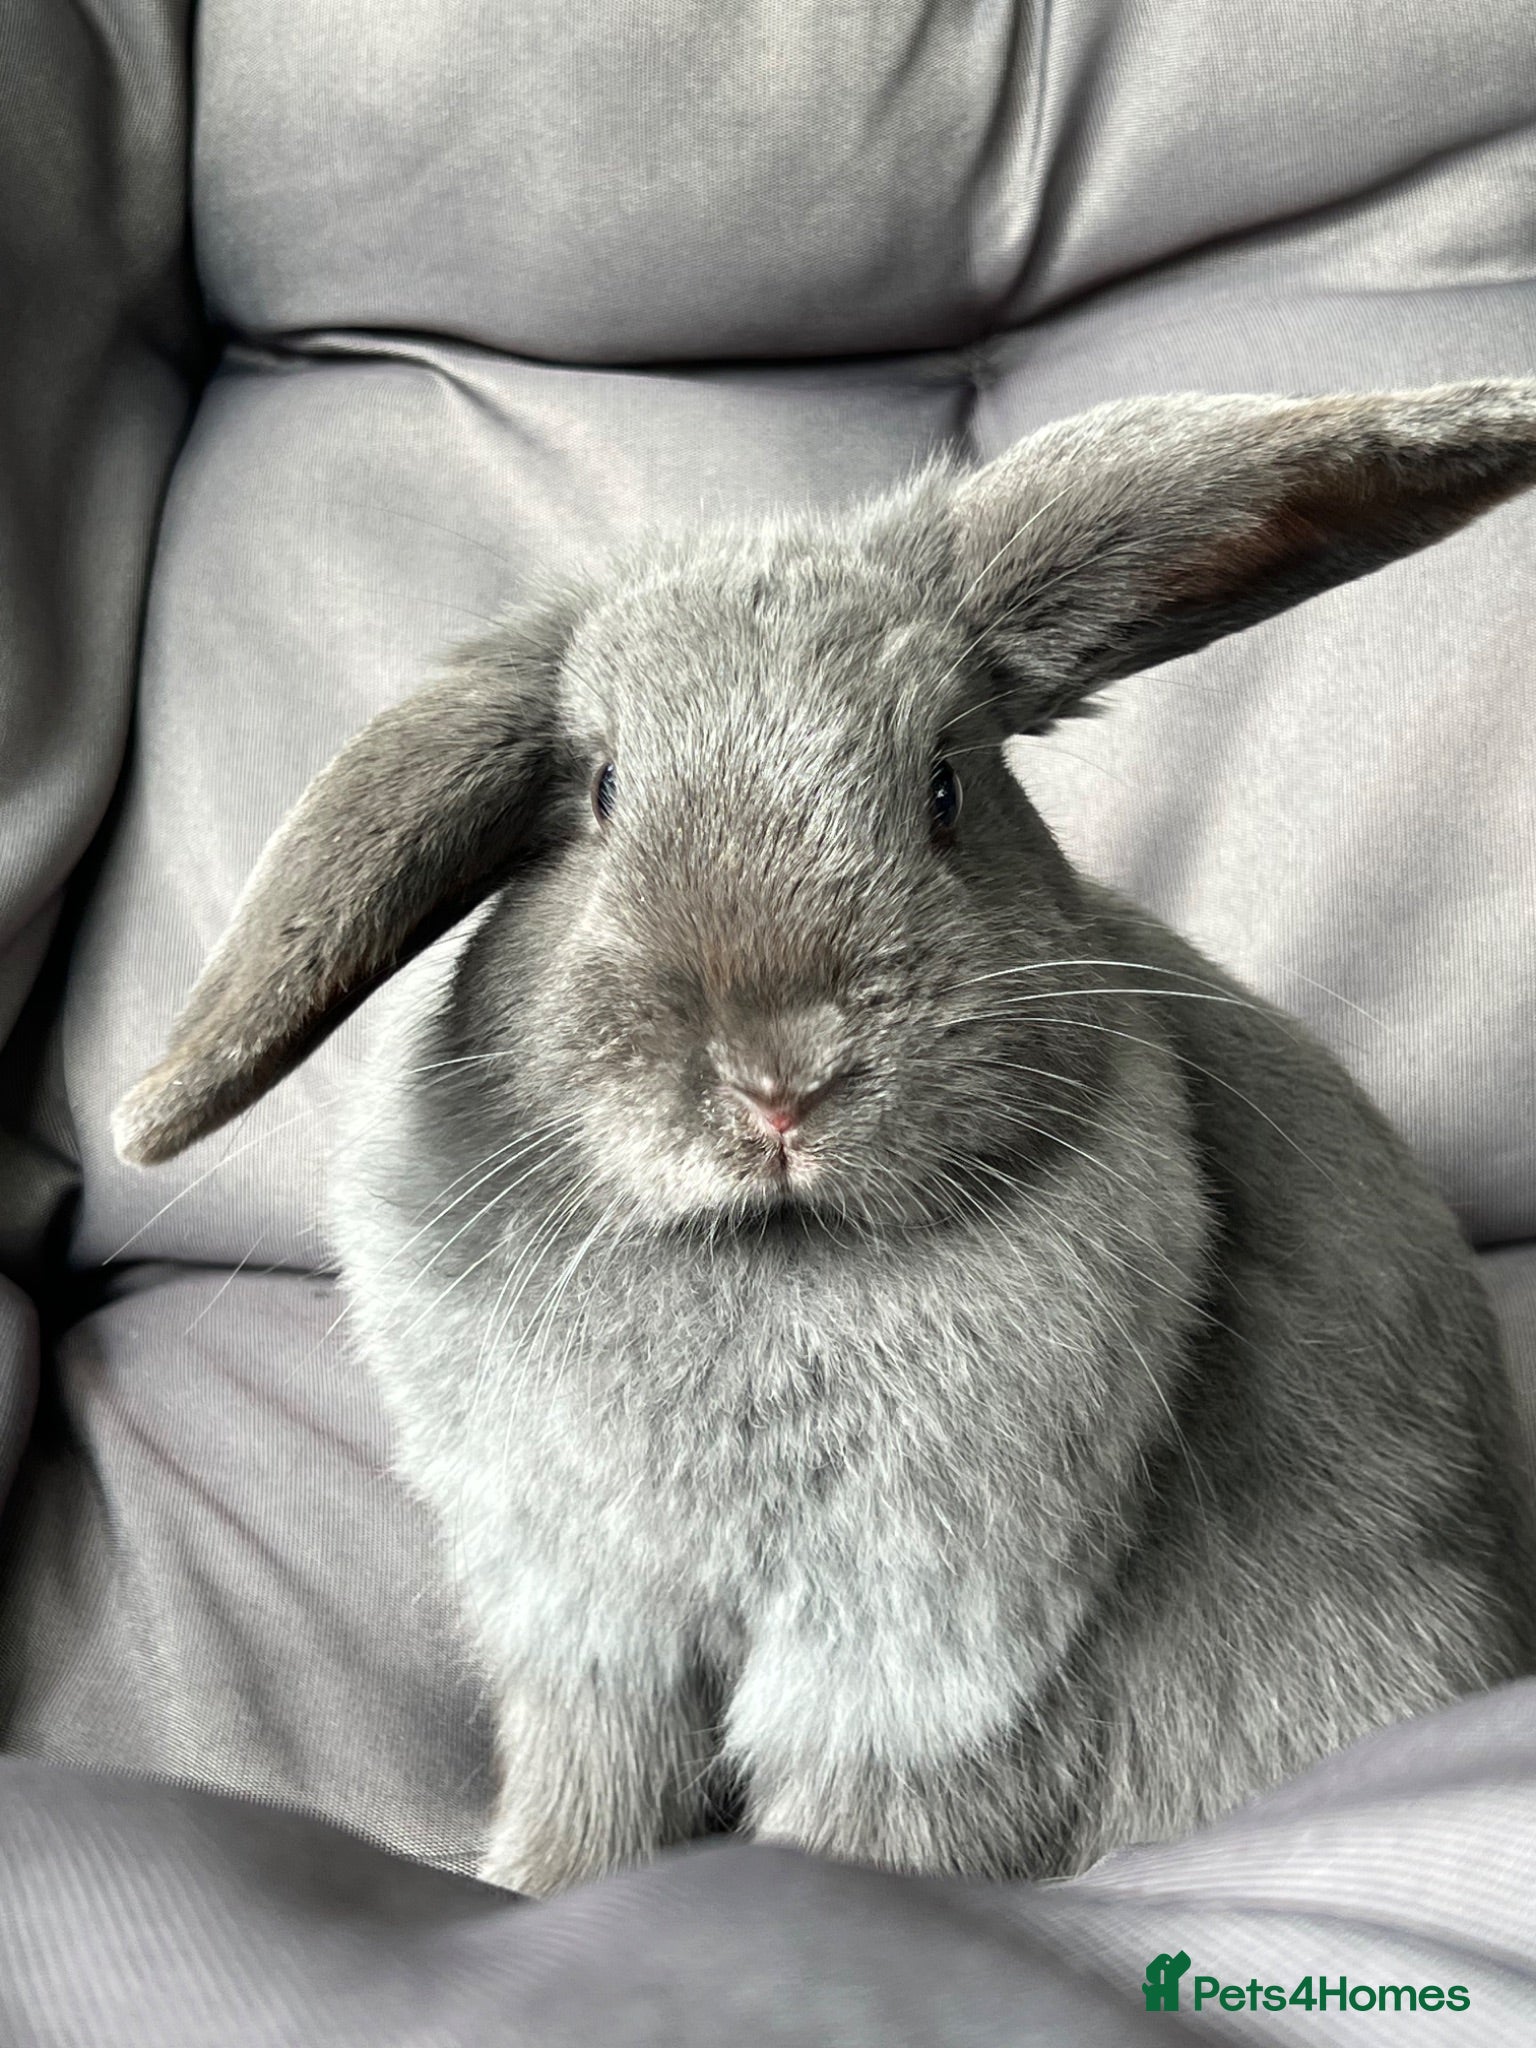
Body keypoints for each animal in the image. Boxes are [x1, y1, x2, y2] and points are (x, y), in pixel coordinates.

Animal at [115, 382, 1536, 1897]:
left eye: (946, 788)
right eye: (602, 792)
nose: (780, 1079)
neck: (770, 1255)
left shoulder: (926, 1650)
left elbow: (863, 1813)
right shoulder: (588, 1619)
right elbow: (596, 1773)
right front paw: (539, 1881)